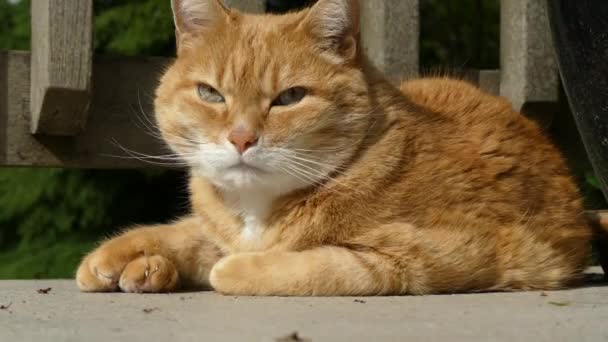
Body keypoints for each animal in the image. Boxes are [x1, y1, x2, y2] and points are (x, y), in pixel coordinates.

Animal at [73, 0, 592, 296]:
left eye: (289, 97)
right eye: (210, 94)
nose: (241, 137)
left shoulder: (427, 255)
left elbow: (310, 265)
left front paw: (231, 267)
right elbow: (187, 232)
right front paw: (121, 256)